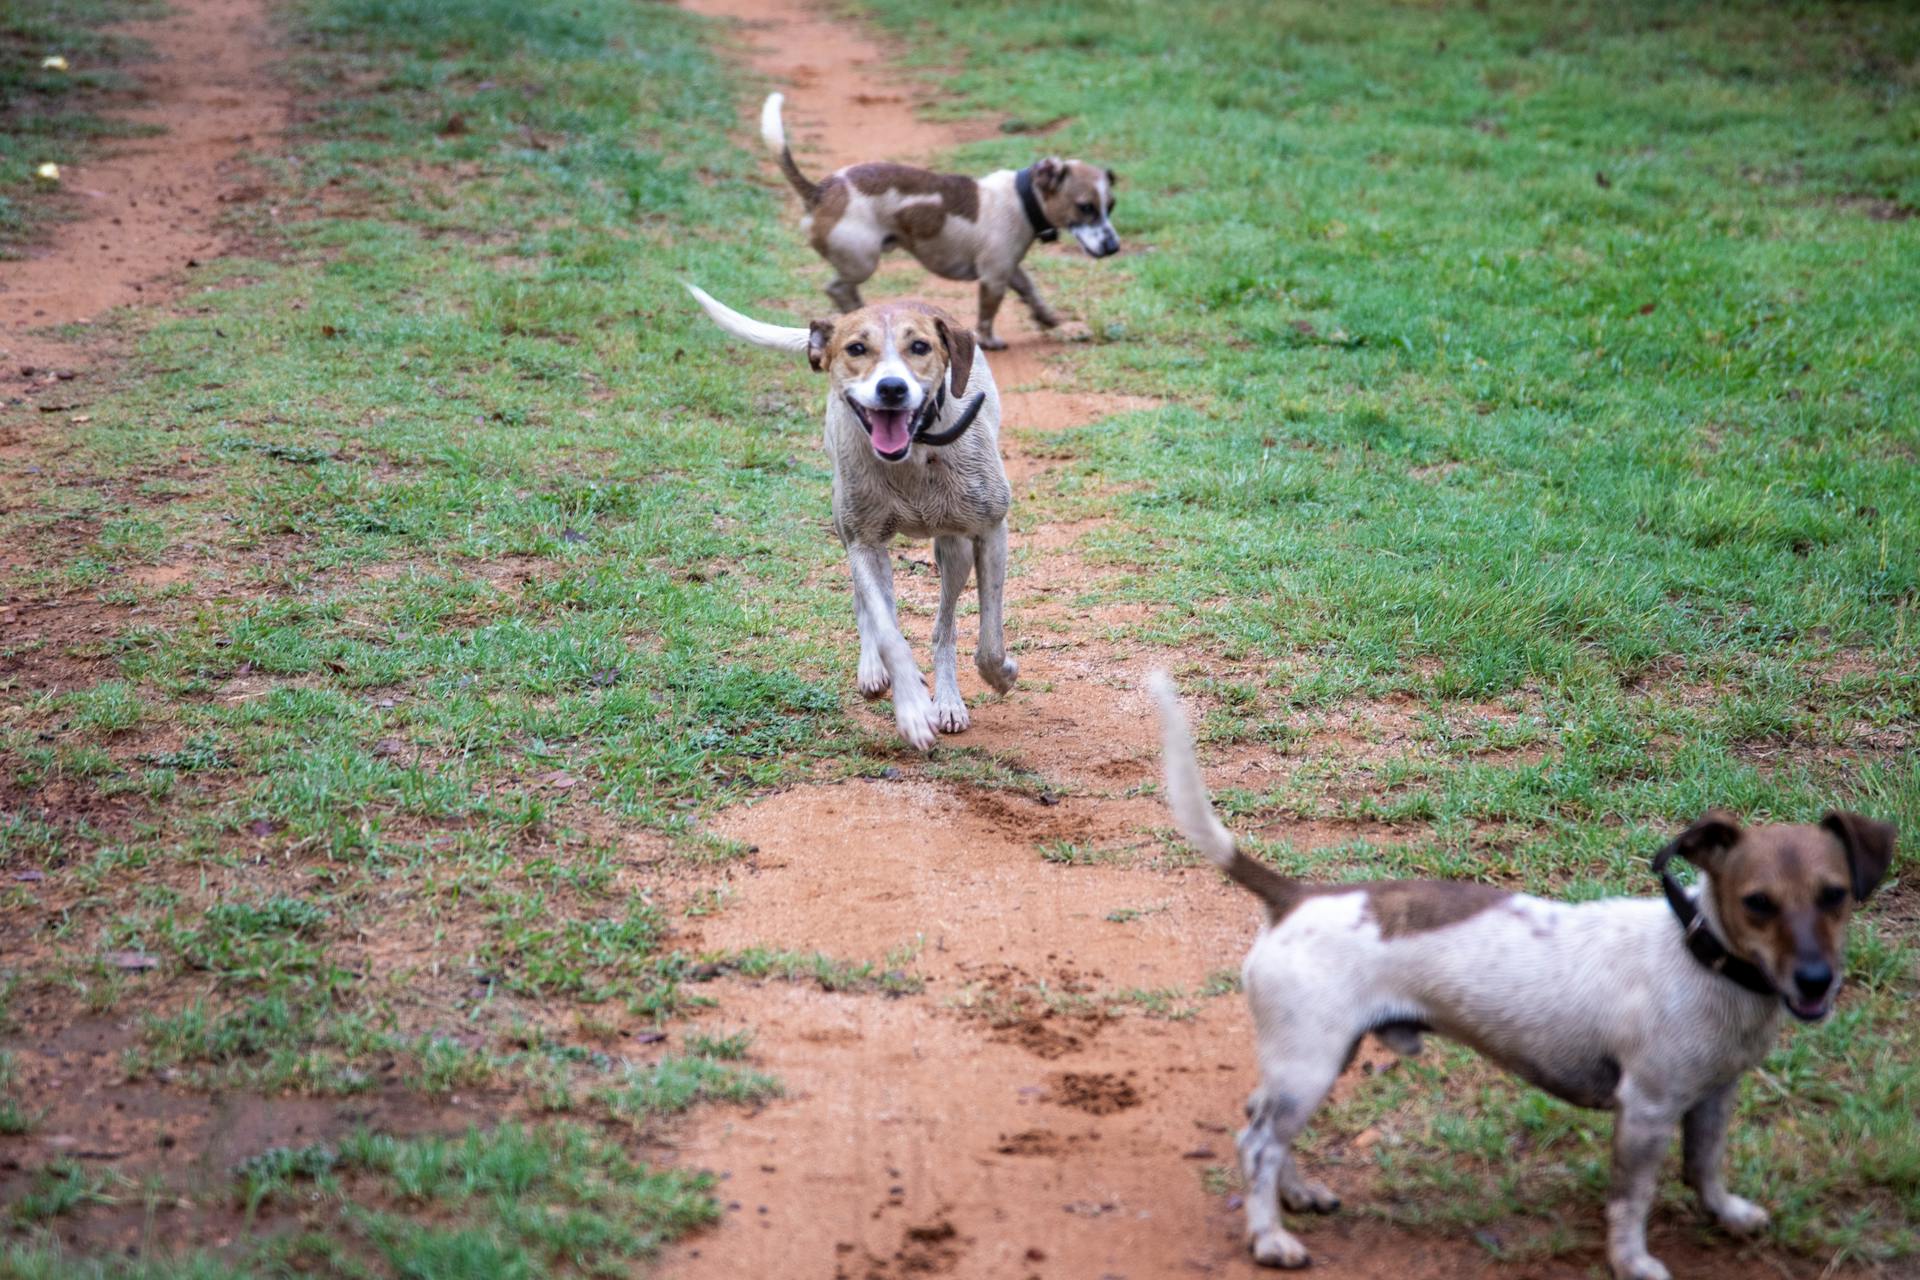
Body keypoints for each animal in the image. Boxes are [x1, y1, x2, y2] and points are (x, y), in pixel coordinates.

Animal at [691, 280, 1021, 752]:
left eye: (920, 346)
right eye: (857, 348)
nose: (891, 388)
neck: (914, 453)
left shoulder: (991, 530)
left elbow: (989, 643)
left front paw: (998, 676)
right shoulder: (864, 541)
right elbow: (888, 632)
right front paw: (911, 709)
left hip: (952, 548)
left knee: (944, 626)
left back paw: (948, 700)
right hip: (848, 525)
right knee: (869, 605)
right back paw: (876, 671)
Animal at [1144, 671, 1896, 1280]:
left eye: (1835, 895)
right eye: (1757, 904)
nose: (1816, 981)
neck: (1698, 952)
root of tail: (1296, 896)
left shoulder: (1713, 1096)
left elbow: (1705, 1167)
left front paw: (1728, 1213)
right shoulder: (1646, 1110)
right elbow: (1631, 1200)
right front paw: (1634, 1262)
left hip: (1319, 1059)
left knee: (1263, 1125)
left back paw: (1297, 1195)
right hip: (1310, 1063)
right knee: (1256, 1144)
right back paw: (1269, 1238)